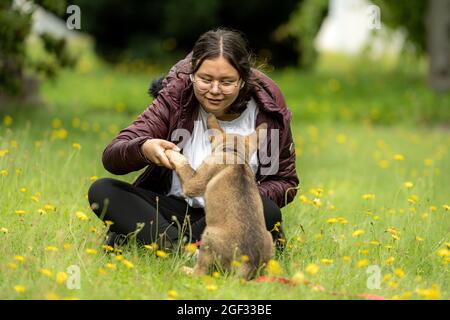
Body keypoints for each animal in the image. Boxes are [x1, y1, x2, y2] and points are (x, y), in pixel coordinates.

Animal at [164, 114, 272, 278]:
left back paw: (184, 269)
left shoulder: (192, 183)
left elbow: (183, 162)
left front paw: (171, 152)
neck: (233, 153)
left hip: (208, 235)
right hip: (269, 238)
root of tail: (248, 262)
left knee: (200, 272)